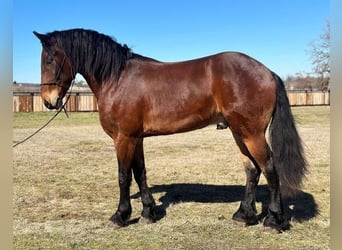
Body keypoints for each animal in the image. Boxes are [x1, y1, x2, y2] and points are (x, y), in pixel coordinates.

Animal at [34, 28, 308, 231]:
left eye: (49, 59)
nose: (48, 101)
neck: (117, 78)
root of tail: (268, 72)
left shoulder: (123, 138)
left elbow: (123, 176)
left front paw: (120, 216)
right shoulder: (136, 138)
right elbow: (140, 173)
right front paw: (148, 212)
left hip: (251, 133)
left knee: (270, 168)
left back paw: (273, 220)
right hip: (239, 132)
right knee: (252, 170)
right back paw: (244, 215)